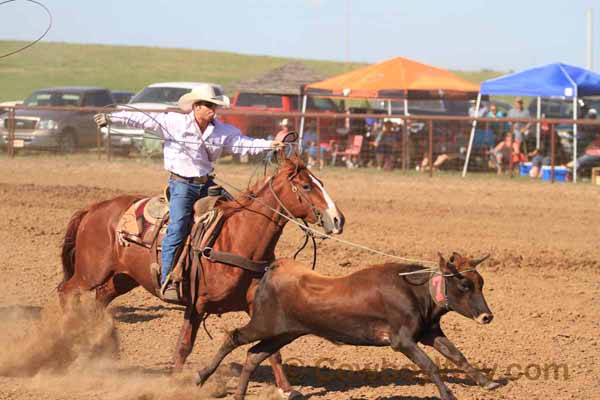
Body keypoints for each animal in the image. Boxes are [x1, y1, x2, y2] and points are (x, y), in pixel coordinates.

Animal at [60, 155, 344, 396]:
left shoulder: (255, 304)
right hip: (90, 272)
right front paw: (176, 384)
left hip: (122, 279)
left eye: (320, 183)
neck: (238, 238)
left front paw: (287, 389)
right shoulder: (196, 304)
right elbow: (184, 346)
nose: (338, 220)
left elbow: (270, 350)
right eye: (306, 186)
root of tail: (94, 208)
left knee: (100, 298)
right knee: (65, 291)